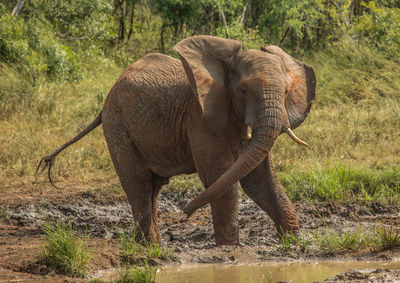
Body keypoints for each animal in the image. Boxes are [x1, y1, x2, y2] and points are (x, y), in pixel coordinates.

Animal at [37, 36, 316, 246]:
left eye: (286, 92)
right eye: (243, 91)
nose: (185, 212)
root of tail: (110, 93)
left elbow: (258, 179)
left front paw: (292, 243)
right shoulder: (200, 120)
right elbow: (220, 178)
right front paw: (229, 250)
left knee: (153, 187)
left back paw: (152, 244)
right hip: (116, 125)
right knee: (137, 182)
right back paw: (149, 248)